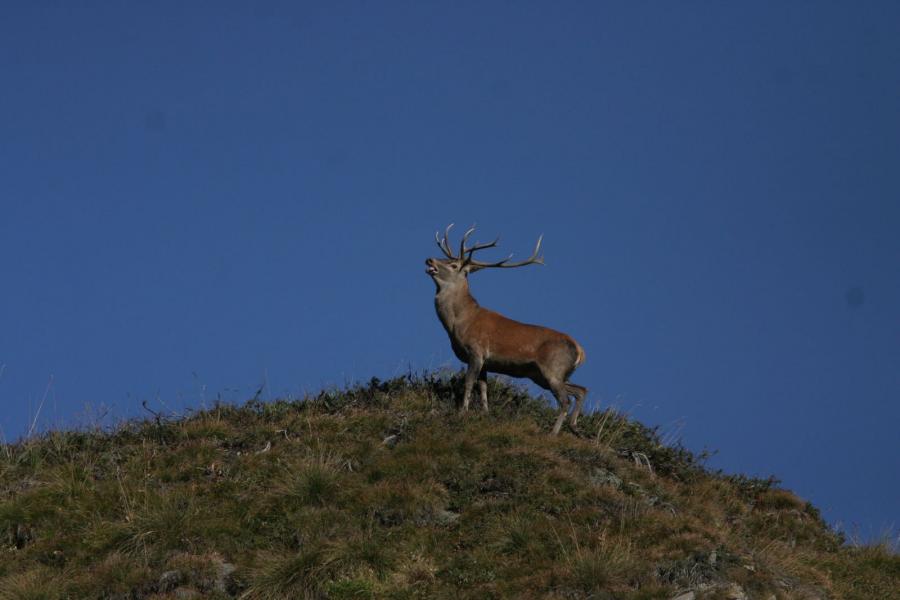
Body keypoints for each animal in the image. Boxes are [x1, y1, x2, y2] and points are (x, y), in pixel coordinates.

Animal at [426, 223, 588, 434]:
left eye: (454, 265)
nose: (429, 259)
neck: (458, 323)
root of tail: (580, 351)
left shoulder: (476, 351)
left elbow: (469, 383)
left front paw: (462, 412)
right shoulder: (486, 362)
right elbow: (483, 387)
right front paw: (485, 413)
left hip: (553, 368)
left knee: (564, 400)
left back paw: (553, 433)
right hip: (546, 375)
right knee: (581, 390)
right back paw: (574, 425)